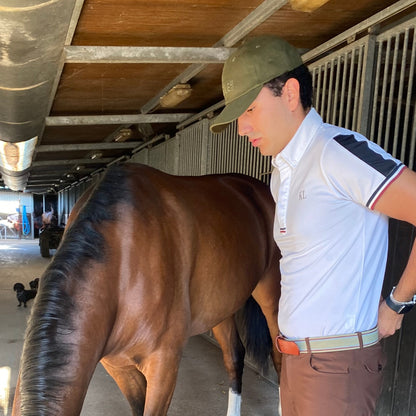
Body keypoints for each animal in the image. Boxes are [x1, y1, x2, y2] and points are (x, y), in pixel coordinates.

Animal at [11, 162, 282, 416]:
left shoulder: (163, 365)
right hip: (220, 306)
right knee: (234, 357)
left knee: (280, 355)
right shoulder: (119, 366)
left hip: (272, 296)